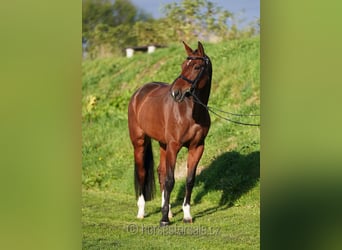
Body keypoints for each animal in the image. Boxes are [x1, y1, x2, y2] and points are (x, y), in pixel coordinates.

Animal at [127, 41, 211, 227]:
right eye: (183, 65)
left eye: (196, 66)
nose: (176, 92)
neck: (191, 112)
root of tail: (139, 93)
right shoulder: (174, 146)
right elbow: (171, 180)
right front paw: (164, 219)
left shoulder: (197, 147)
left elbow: (189, 180)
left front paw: (186, 215)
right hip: (140, 142)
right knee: (143, 172)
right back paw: (142, 212)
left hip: (163, 144)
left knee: (161, 172)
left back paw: (170, 210)